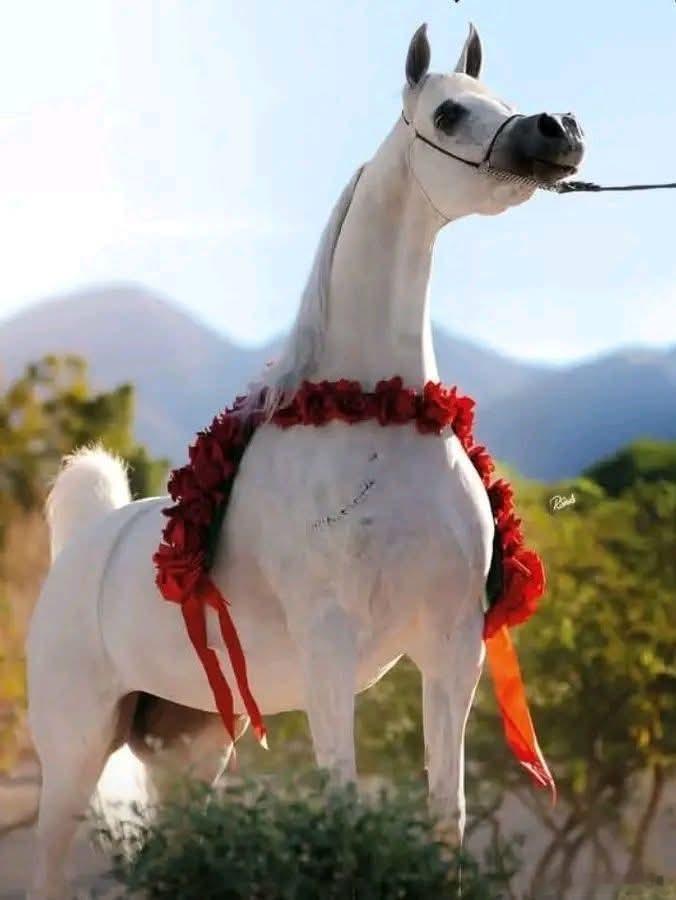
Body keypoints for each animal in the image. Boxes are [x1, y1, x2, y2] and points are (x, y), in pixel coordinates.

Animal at [26, 23, 584, 898]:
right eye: (449, 111)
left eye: (502, 95)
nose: (556, 130)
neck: (378, 413)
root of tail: (87, 542)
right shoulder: (329, 640)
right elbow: (345, 805)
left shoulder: (452, 643)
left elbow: (446, 813)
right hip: (77, 747)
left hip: (188, 748)